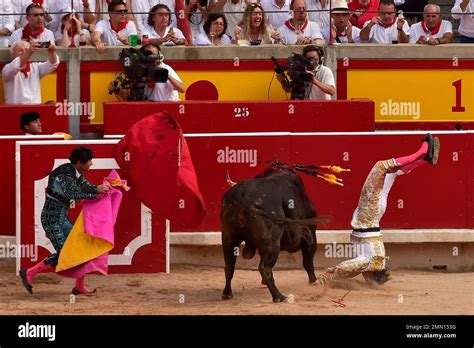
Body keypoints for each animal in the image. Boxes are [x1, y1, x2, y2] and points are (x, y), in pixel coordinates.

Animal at [220, 163, 328, 302]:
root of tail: (241, 196)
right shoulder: (311, 235)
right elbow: (308, 262)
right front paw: (314, 282)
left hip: (228, 238)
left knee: (229, 265)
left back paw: (227, 294)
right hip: (272, 241)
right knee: (264, 268)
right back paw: (279, 297)